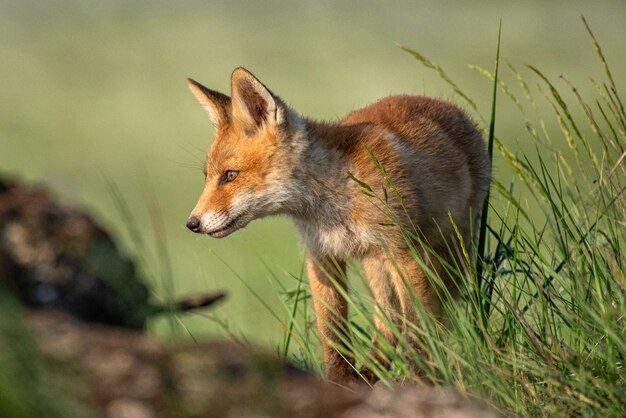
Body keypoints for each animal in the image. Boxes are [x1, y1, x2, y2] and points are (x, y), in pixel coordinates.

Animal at [183, 68, 490, 386]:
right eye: (208, 177)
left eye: (230, 175)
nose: (192, 223)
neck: (332, 206)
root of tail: (448, 105)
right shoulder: (321, 255)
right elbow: (332, 331)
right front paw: (340, 380)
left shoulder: (406, 252)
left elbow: (419, 327)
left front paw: (419, 379)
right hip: (377, 264)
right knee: (388, 320)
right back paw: (371, 370)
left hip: (447, 249)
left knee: (432, 311)